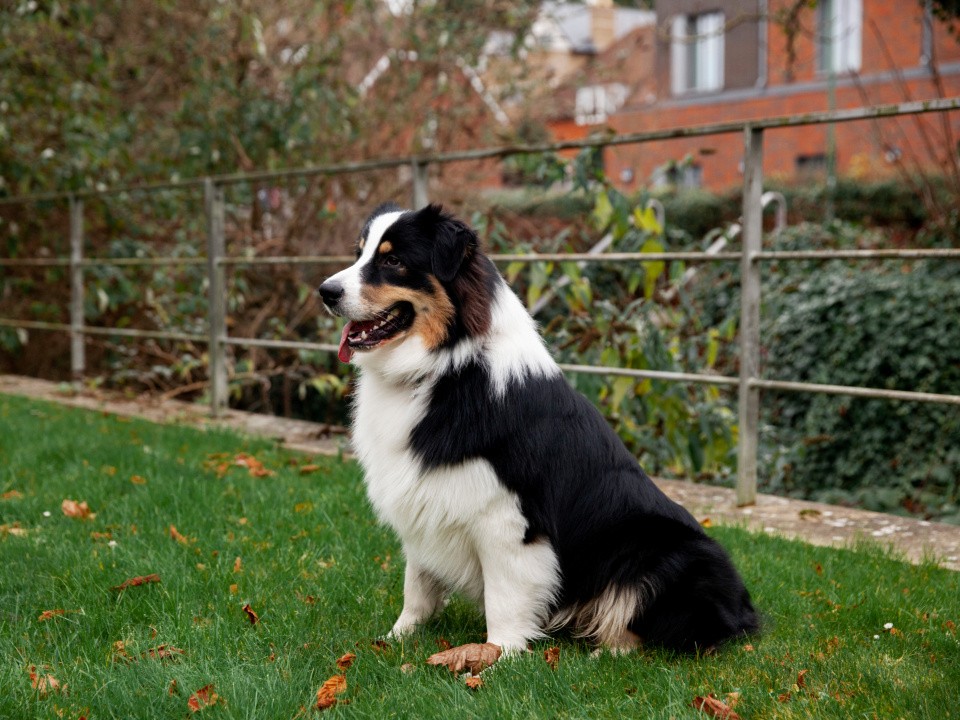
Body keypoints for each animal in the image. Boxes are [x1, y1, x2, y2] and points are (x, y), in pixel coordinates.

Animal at [318, 202, 760, 660]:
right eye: (360, 253)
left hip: (667, 552)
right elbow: (417, 585)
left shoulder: (507, 515)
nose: (325, 291)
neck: (445, 366)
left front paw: (499, 655)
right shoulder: (425, 497)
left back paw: (606, 653)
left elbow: (505, 596)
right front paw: (396, 640)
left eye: (393, 261)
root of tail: (745, 611)